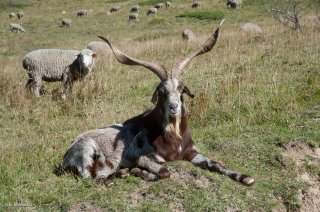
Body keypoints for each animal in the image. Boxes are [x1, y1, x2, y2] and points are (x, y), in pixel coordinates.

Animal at [62, 19, 255, 186]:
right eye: (161, 91)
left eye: (181, 89)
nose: (173, 107)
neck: (174, 138)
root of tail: (66, 158)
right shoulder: (141, 157)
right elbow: (164, 171)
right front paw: (142, 172)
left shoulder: (192, 152)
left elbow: (216, 164)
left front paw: (246, 177)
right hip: (89, 154)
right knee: (93, 178)